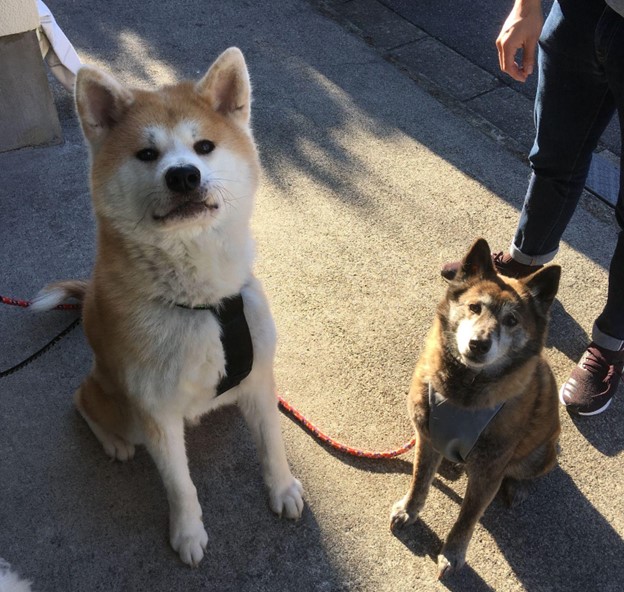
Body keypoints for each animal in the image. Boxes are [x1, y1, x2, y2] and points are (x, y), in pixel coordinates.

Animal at [34, 48, 304, 568]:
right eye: (147, 154)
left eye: (204, 147)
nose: (183, 175)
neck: (204, 303)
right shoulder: (155, 412)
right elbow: (180, 485)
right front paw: (188, 533)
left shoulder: (260, 376)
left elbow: (273, 444)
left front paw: (281, 488)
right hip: (116, 403)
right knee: (81, 400)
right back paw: (114, 441)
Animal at [390, 237, 560, 580]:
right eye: (475, 307)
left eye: (512, 320)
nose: (479, 344)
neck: (464, 388)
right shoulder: (427, 438)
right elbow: (419, 481)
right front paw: (409, 510)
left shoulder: (488, 473)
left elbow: (467, 517)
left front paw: (453, 553)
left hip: (539, 454)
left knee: (528, 470)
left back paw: (518, 487)